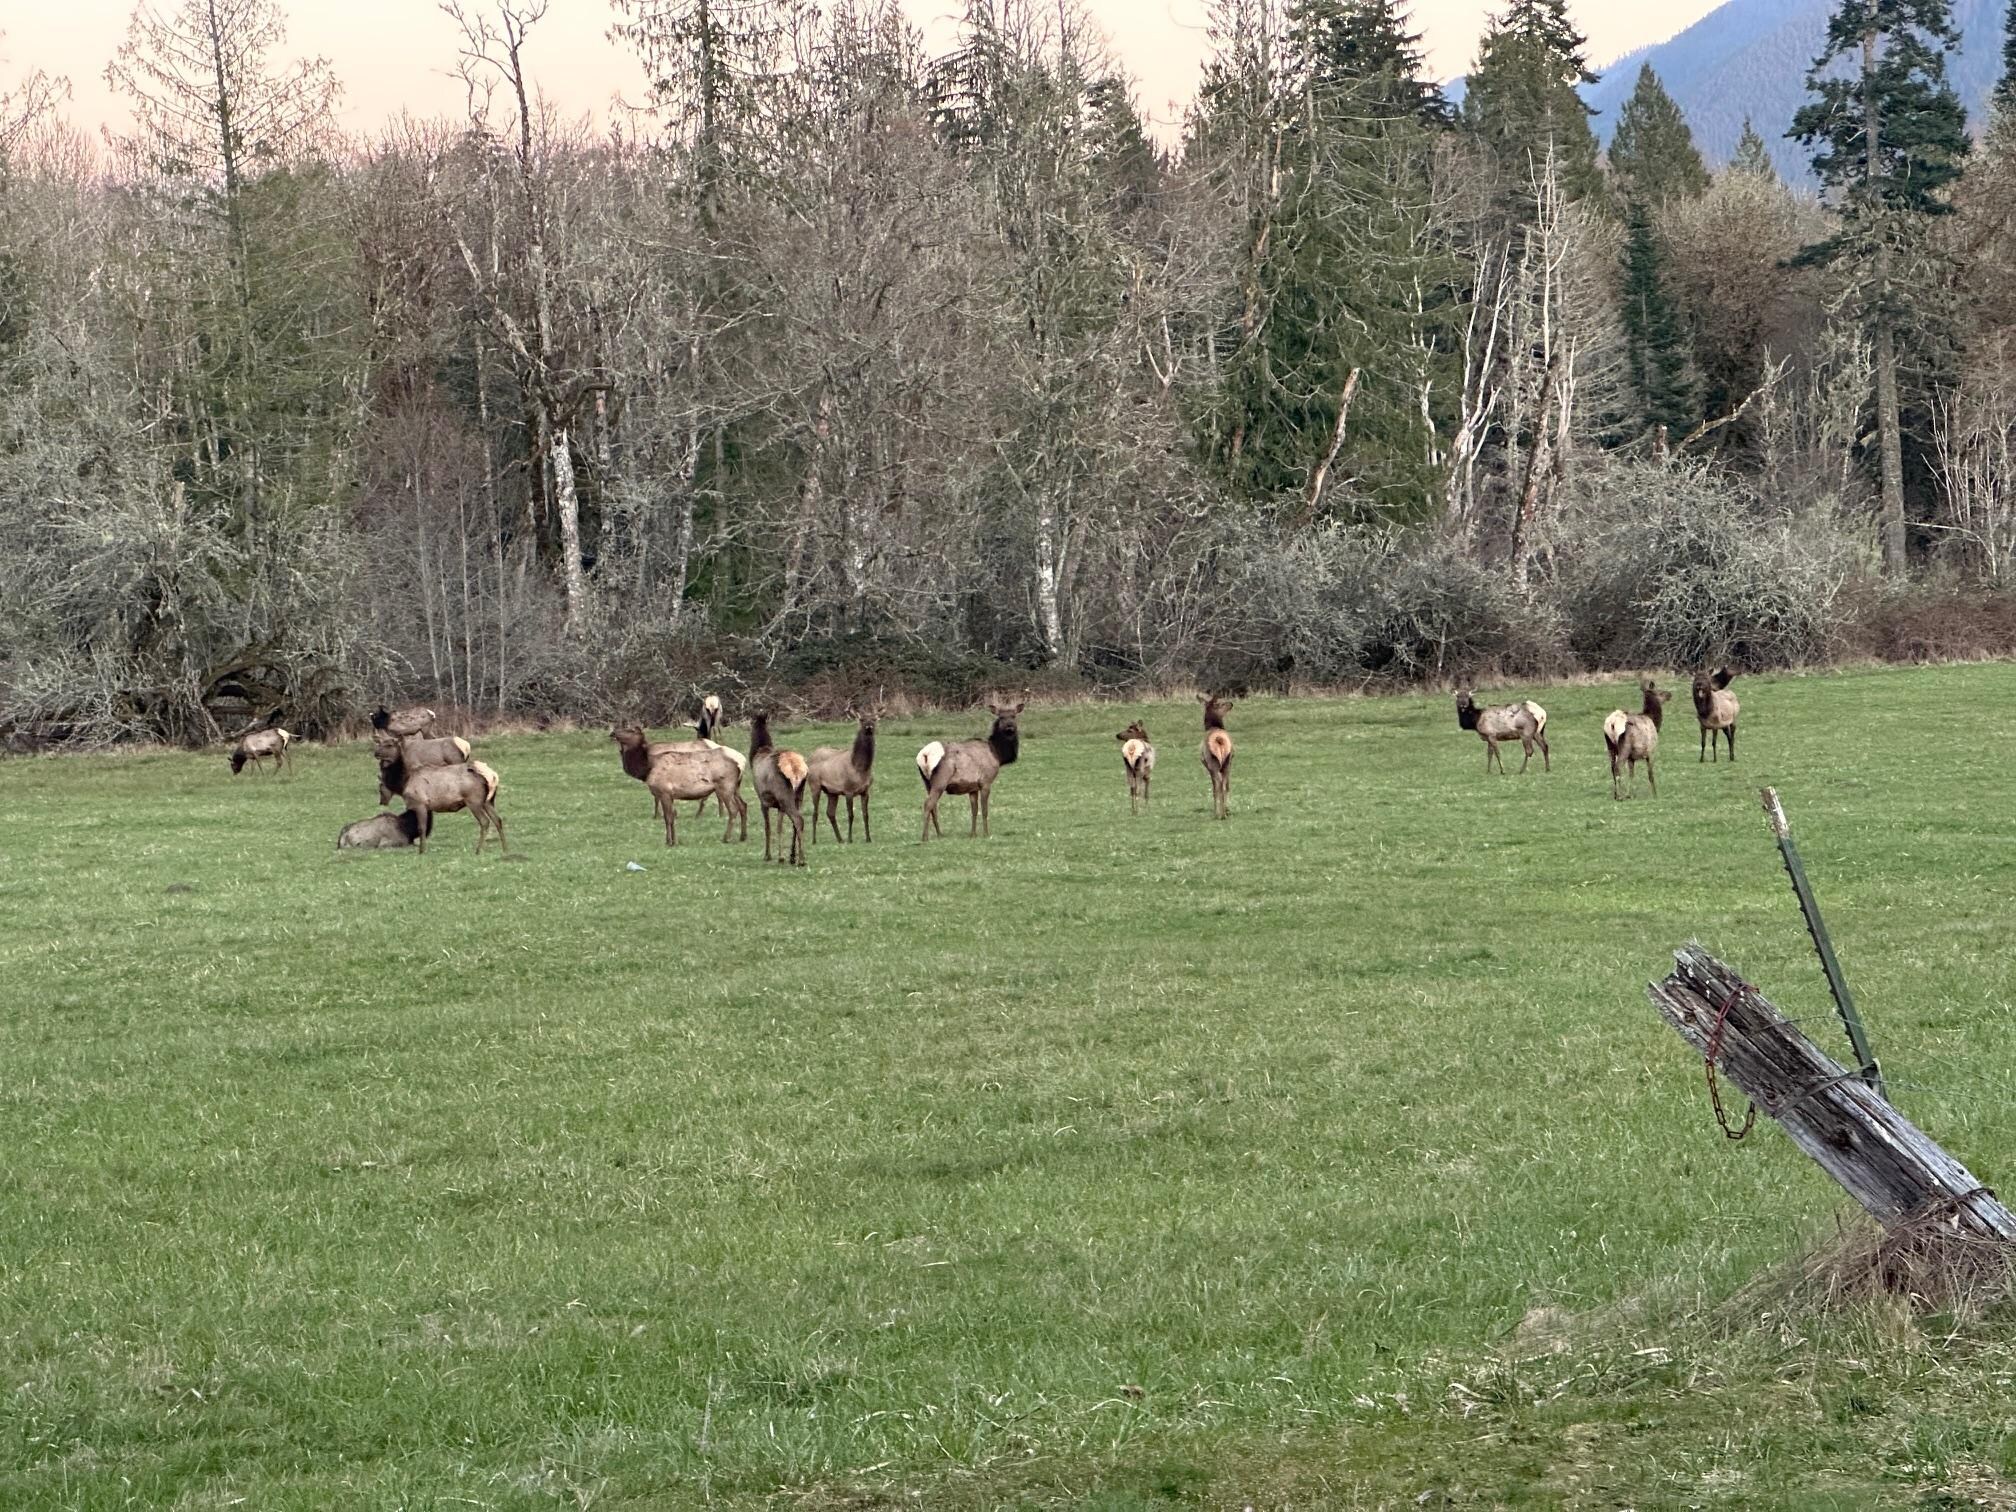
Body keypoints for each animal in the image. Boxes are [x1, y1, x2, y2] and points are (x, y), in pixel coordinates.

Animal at [749, 711, 809, 866]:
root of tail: (795, 768)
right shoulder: (779, 805)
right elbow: (779, 826)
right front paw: (782, 856)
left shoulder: (763, 800)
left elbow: (768, 827)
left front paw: (768, 855)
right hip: (799, 794)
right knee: (796, 821)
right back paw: (793, 856)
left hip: (784, 794)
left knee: (798, 819)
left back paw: (802, 859)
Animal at [806, 711, 877, 844]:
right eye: (862, 719)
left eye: (874, 719)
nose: (869, 727)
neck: (860, 768)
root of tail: (809, 758)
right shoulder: (848, 790)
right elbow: (851, 815)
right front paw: (850, 839)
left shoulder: (865, 791)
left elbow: (866, 815)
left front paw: (868, 838)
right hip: (814, 785)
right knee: (815, 813)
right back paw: (814, 840)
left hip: (832, 792)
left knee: (830, 813)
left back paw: (840, 839)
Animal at [921, 700, 1023, 842]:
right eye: (1001, 717)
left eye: (1013, 716)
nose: (1009, 727)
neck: (997, 754)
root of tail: (924, 755)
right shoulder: (986, 781)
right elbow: (984, 810)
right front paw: (986, 833)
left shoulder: (972, 787)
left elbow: (974, 810)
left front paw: (973, 834)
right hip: (940, 781)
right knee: (928, 804)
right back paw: (925, 837)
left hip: (927, 783)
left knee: (933, 807)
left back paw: (940, 834)